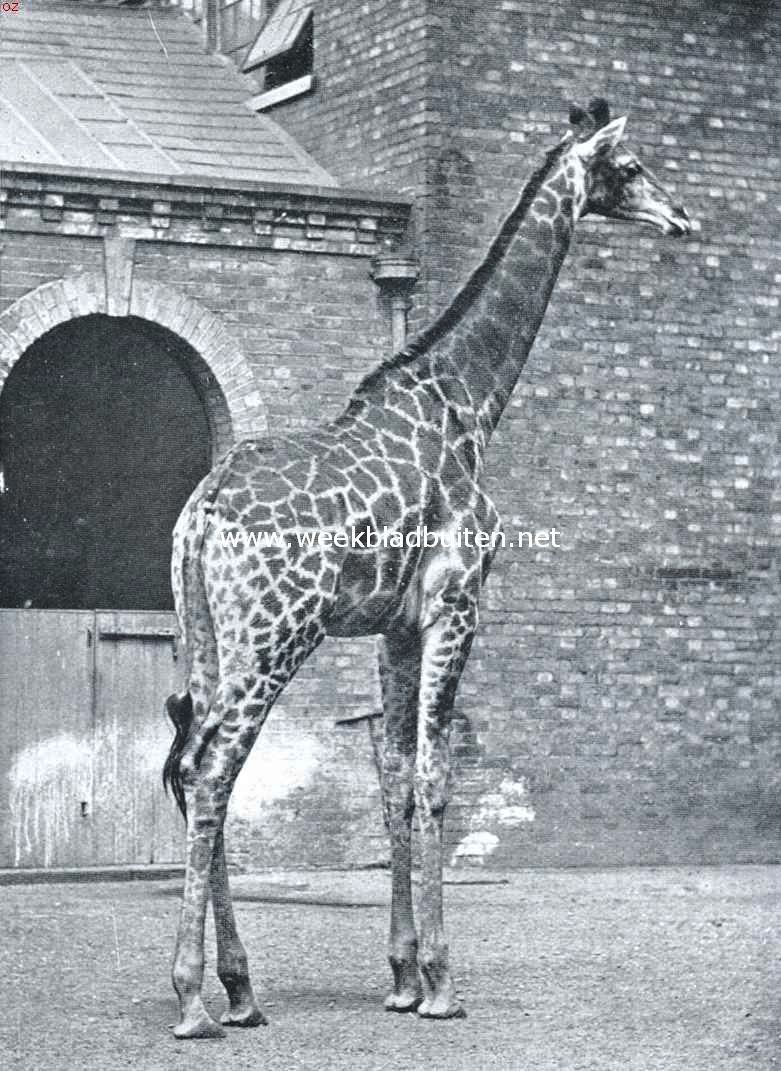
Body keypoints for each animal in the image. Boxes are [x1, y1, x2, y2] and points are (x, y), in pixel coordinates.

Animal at [163, 98, 691, 1039]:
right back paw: (194, 997)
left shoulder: (394, 629)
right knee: (212, 767)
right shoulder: (457, 604)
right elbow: (438, 780)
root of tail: (203, 510)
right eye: (628, 167)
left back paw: (242, 988)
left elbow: (394, 782)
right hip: (273, 636)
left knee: (194, 765)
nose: (681, 218)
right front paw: (442, 981)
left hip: (209, 637)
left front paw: (402, 975)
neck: (469, 400)